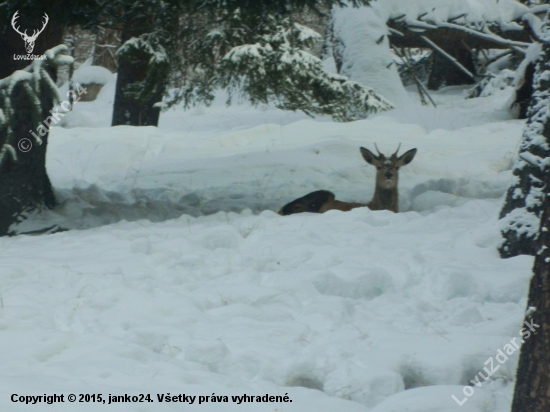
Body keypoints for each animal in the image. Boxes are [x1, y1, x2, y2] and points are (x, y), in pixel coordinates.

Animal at [280, 145, 418, 216]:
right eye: (378, 167)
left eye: (397, 167)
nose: (388, 174)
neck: (375, 207)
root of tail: (281, 210)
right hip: (321, 197)